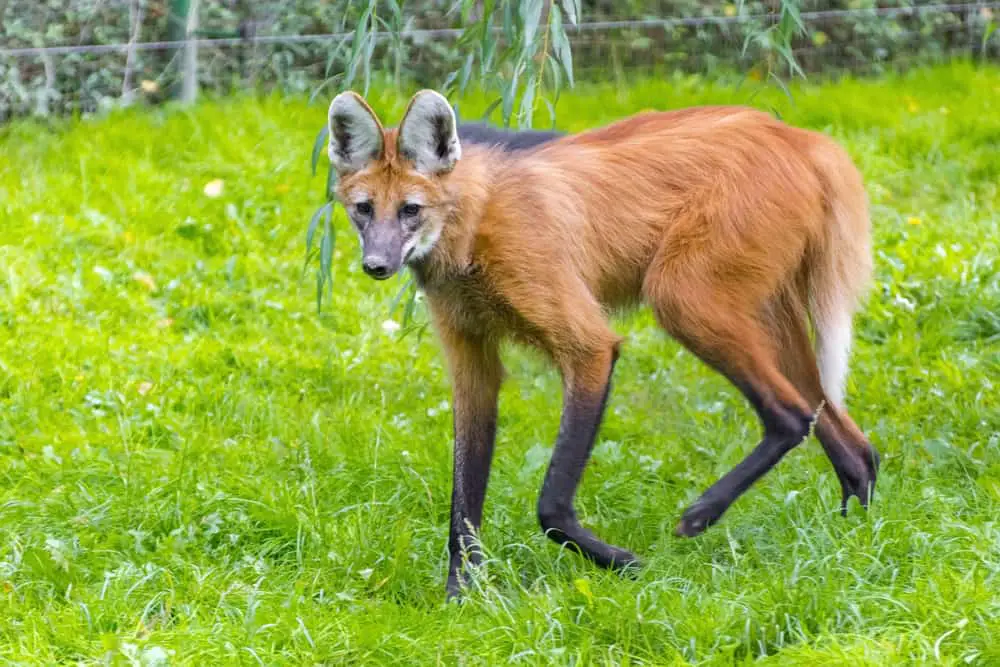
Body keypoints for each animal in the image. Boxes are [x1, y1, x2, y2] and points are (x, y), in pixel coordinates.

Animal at [326, 90, 876, 600]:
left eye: (410, 211)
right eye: (363, 210)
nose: (376, 265)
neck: (473, 224)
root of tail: (803, 139)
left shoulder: (588, 346)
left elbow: (550, 504)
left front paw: (625, 563)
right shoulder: (471, 360)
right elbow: (464, 498)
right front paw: (462, 596)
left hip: (684, 298)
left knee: (792, 416)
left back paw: (700, 516)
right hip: (766, 315)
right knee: (852, 441)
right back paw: (855, 545)